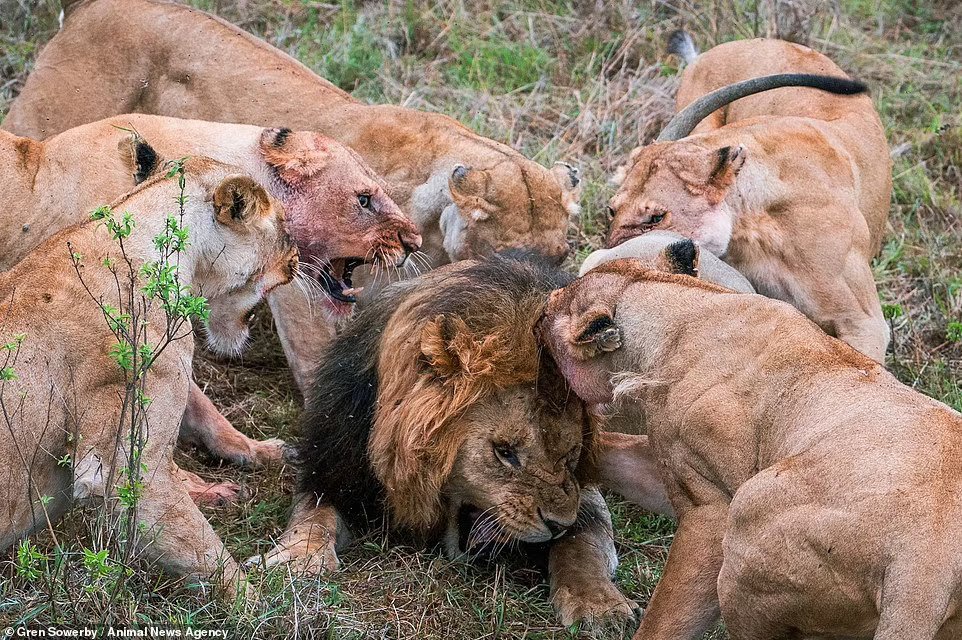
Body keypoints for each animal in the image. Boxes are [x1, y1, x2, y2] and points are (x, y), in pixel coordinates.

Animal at [251, 255, 632, 624]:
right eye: (504, 452)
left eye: (570, 455)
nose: (556, 526)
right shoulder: (331, 467)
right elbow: (313, 516)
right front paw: (298, 559)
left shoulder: (582, 495)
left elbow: (582, 543)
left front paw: (598, 604)